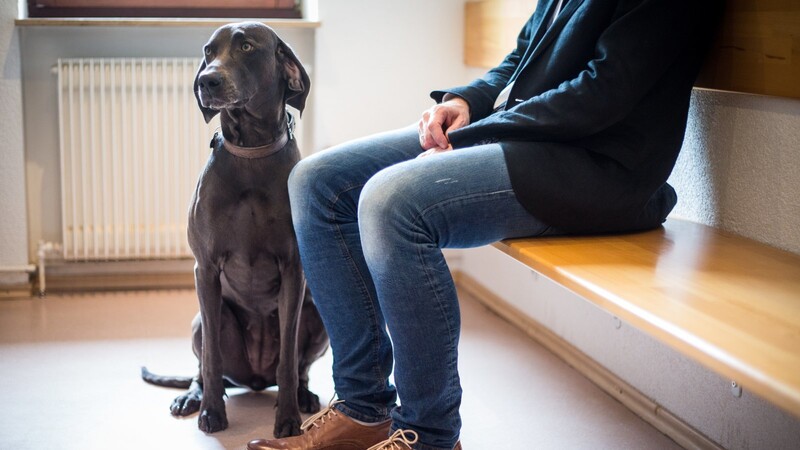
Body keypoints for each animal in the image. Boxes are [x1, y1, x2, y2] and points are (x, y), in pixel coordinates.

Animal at [141, 22, 328, 438]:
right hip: (202, 320)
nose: (206, 81)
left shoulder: (294, 270)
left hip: (316, 317)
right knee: (204, 366)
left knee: (298, 367)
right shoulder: (206, 270)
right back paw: (193, 397)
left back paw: (304, 396)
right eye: (208, 51)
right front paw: (212, 412)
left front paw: (288, 418)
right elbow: (211, 359)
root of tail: (254, 380)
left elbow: (289, 360)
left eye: (245, 47)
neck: (251, 153)